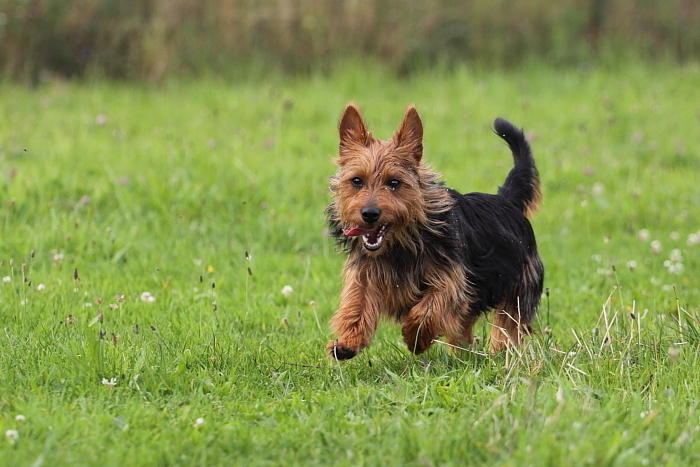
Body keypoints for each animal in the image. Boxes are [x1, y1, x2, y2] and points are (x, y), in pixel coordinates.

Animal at [326, 106, 544, 360]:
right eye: (356, 181)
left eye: (394, 182)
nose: (369, 213)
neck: (401, 244)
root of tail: (506, 200)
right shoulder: (365, 275)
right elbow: (356, 305)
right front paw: (347, 342)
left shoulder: (452, 279)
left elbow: (430, 307)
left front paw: (416, 338)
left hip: (519, 286)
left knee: (508, 325)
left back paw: (501, 352)